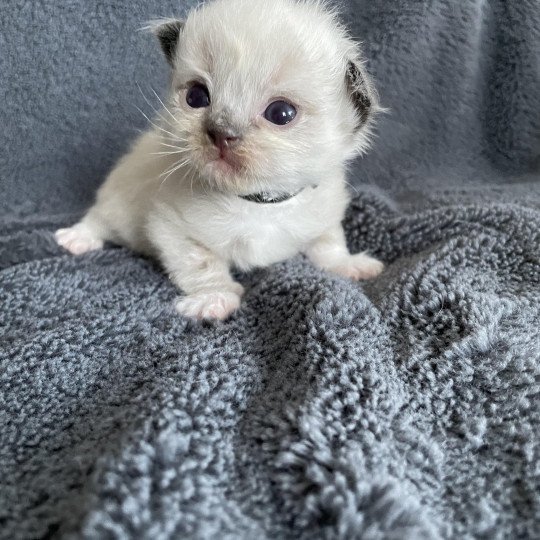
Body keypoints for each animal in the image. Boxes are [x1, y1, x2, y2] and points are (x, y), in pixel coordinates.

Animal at [54, 0, 384, 320]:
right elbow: (203, 265)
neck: (260, 203)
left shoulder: (323, 213)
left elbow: (330, 245)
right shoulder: (173, 228)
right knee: (98, 219)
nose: (221, 133)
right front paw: (215, 299)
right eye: (197, 97)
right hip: (118, 202)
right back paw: (75, 239)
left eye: (281, 114)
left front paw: (351, 265)